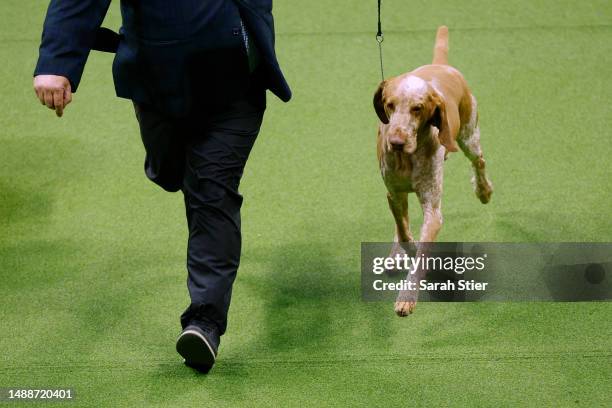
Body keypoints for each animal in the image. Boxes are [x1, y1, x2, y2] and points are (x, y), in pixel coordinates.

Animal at [372, 27, 492, 318]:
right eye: (389, 104)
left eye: (418, 108)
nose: (396, 141)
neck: (407, 158)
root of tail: (441, 65)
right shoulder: (394, 195)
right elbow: (405, 234)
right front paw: (405, 251)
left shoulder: (433, 210)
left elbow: (421, 251)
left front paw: (408, 295)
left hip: (469, 137)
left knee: (479, 162)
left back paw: (483, 191)